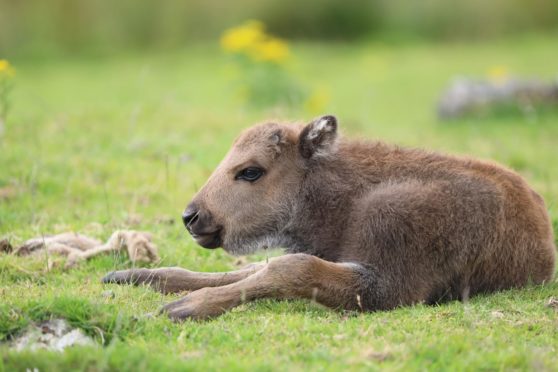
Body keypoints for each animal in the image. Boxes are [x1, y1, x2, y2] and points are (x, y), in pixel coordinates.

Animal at [103, 115, 556, 320]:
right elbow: (254, 268)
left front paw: (182, 307)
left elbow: (290, 267)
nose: (192, 216)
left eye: (250, 171)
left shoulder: (386, 287)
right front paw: (139, 276)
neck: (346, 198)